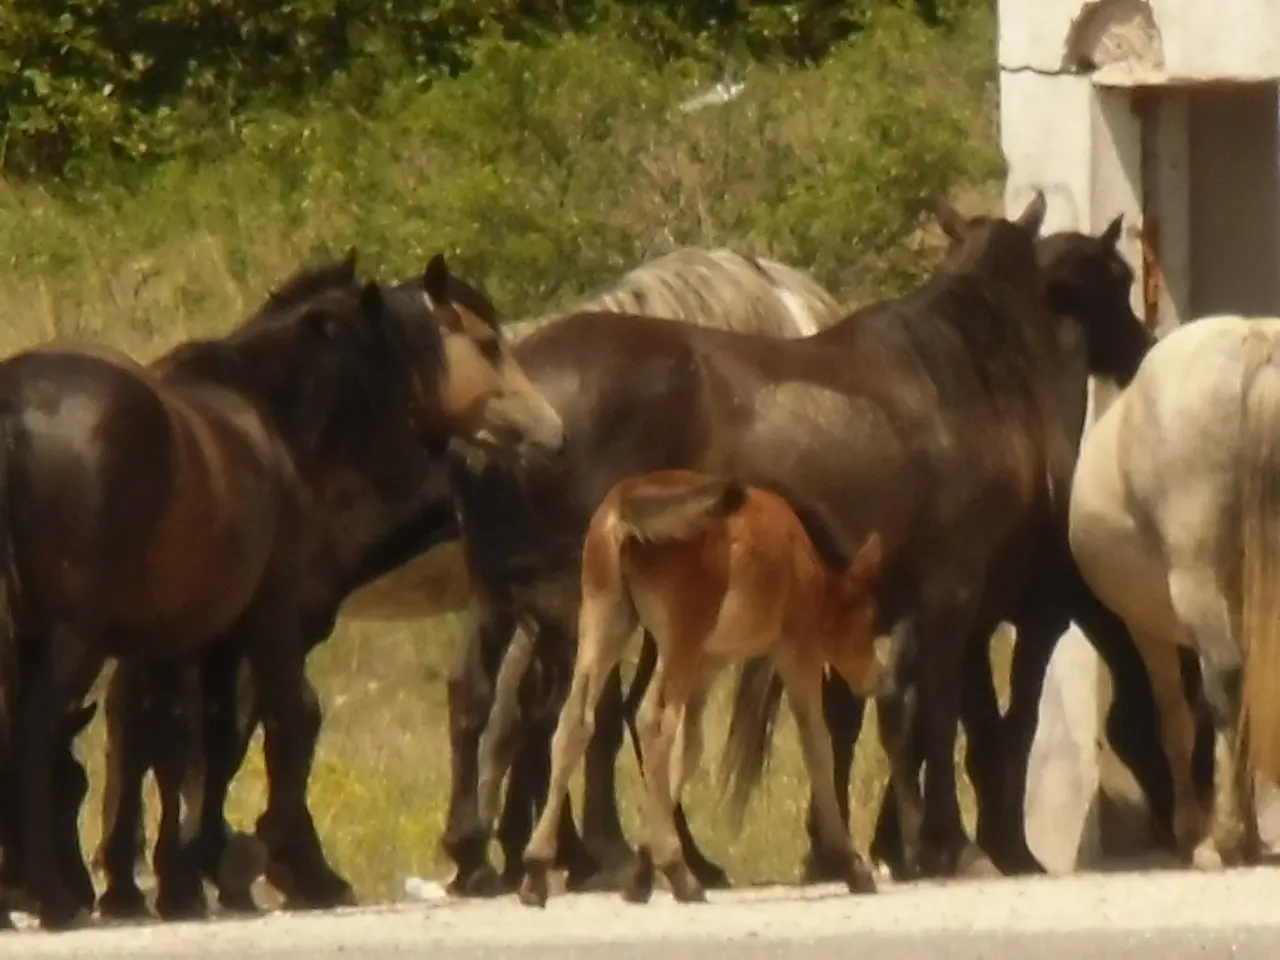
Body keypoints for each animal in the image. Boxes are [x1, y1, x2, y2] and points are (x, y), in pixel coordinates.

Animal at [0, 251, 564, 930]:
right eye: (486, 344)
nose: (551, 430)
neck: (273, 422)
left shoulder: (204, 636)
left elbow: (205, 740)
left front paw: (189, 875)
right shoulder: (270, 618)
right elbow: (280, 723)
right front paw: (279, 865)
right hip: (71, 635)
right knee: (36, 733)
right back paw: (55, 895)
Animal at [515, 469, 887, 907]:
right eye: (866, 618)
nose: (878, 676)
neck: (804, 562)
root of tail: (625, 507)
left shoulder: (709, 662)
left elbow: (689, 750)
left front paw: (641, 871)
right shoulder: (796, 650)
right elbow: (817, 744)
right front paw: (852, 864)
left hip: (604, 617)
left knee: (576, 721)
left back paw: (535, 871)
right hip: (679, 636)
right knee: (654, 720)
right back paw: (680, 874)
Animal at [1067, 313, 1280, 871]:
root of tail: (1257, 343)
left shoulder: (1148, 630)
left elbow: (1177, 722)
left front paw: (1199, 830)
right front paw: (1249, 834)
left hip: (1195, 581)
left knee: (1224, 681)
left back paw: (1217, 837)